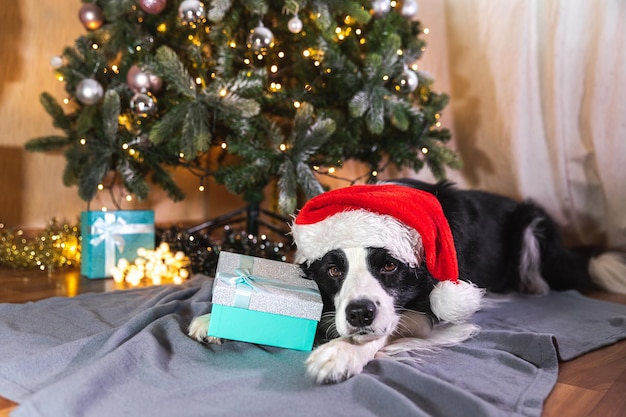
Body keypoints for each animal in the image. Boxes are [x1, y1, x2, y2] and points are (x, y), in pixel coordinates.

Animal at [189, 179, 624, 384]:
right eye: (333, 270)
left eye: (389, 266)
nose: (359, 315)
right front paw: (212, 318)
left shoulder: (434, 297)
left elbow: (390, 326)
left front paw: (339, 354)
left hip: (532, 226)